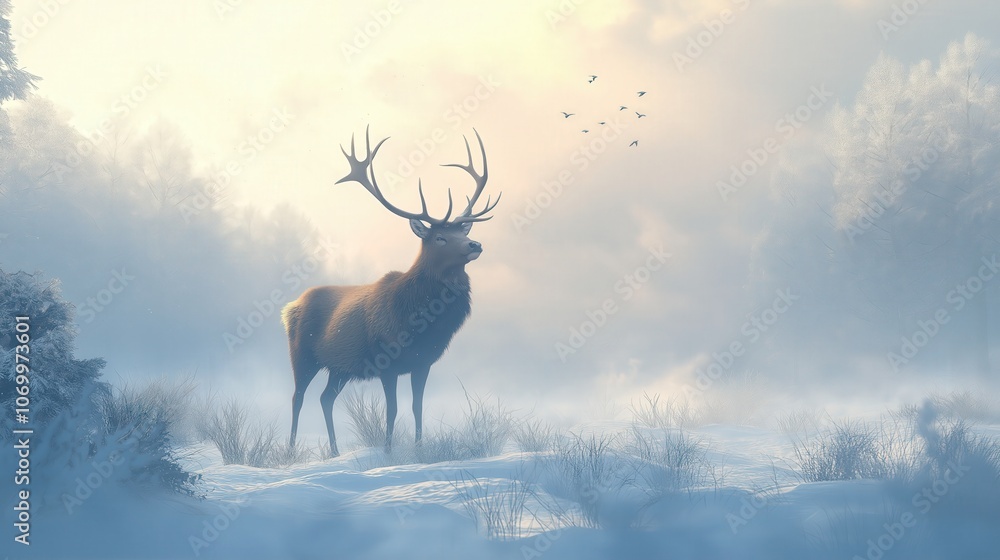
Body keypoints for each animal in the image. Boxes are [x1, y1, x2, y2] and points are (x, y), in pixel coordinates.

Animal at [281, 128, 499, 456]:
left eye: (462, 232)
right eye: (439, 237)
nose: (475, 244)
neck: (420, 319)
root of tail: (289, 307)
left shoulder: (423, 362)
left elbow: (417, 407)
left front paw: (419, 450)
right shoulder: (387, 360)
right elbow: (392, 410)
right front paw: (387, 452)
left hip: (340, 367)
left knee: (325, 398)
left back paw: (335, 451)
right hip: (302, 354)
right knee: (298, 397)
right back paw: (292, 451)